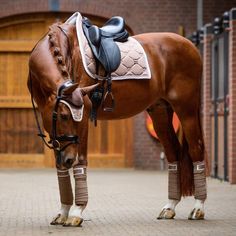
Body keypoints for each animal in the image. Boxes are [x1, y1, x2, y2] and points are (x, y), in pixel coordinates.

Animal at [27, 13, 206, 227]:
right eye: (62, 116)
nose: (68, 158)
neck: (67, 48)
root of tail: (190, 45)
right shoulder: (55, 131)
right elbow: (60, 166)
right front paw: (63, 212)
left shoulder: (84, 116)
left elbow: (81, 161)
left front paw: (77, 212)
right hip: (160, 111)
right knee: (173, 154)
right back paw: (170, 207)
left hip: (186, 109)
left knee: (196, 150)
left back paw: (198, 208)